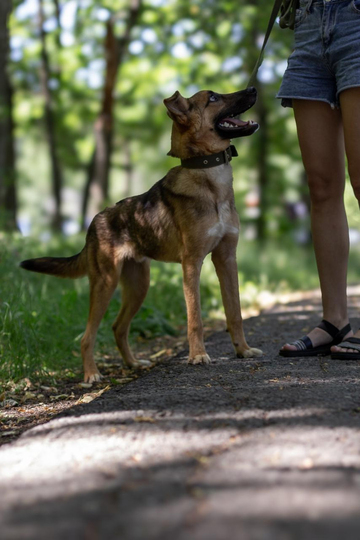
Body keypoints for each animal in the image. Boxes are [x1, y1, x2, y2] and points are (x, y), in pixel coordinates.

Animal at [22, 88, 262, 382]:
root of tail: (94, 222)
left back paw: (133, 363)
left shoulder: (226, 259)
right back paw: (91, 374)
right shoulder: (192, 263)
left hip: (139, 285)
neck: (208, 175)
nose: (253, 89)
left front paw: (243, 350)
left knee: (118, 327)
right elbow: (195, 318)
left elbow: (235, 312)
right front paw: (197, 356)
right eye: (213, 98)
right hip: (105, 283)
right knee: (87, 336)